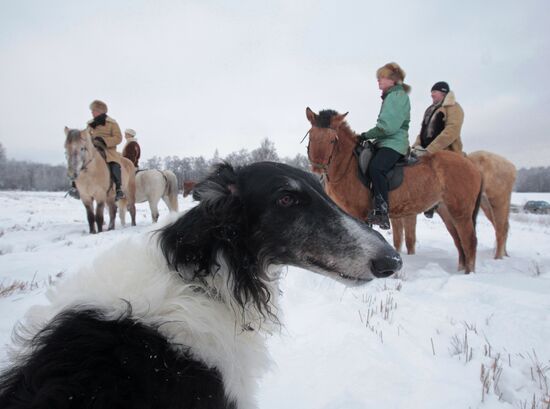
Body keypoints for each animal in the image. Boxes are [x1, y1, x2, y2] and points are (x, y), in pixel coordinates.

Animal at [306, 108, 484, 272]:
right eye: (311, 136)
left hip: (461, 212)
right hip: (447, 211)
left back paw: (468, 273)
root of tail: (472, 165)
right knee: (458, 240)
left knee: (469, 241)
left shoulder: (359, 215)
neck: (348, 166)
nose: (317, 168)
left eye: (332, 140)